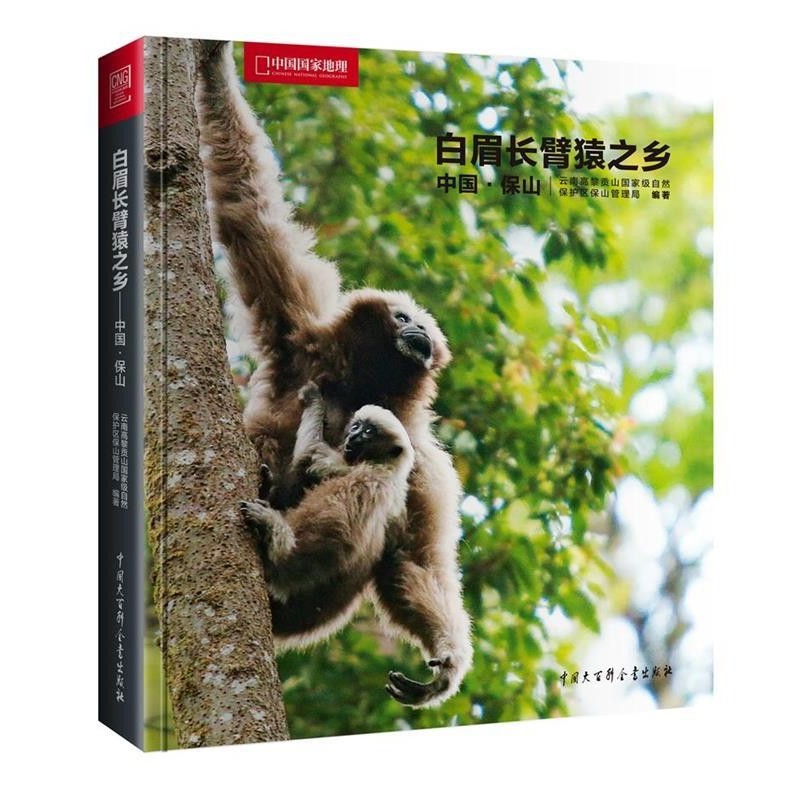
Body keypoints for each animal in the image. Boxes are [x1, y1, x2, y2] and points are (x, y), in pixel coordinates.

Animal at [241, 383, 414, 650]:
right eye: (356, 426)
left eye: (369, 431)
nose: (354, 435)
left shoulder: (372, 474)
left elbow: (310, 456)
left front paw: (314, 402)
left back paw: (275, 542)